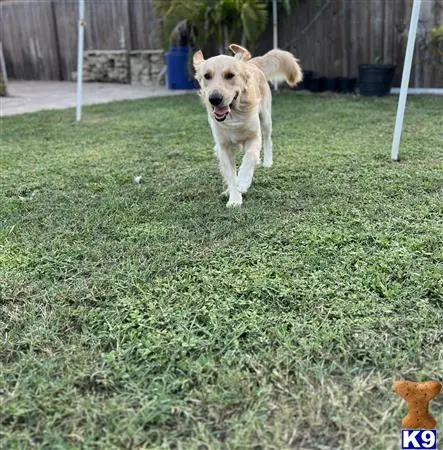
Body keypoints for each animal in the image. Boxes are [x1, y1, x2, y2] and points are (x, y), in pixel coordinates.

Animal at [193, 44, 302, 207]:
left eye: (230, 75)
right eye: (207, 76)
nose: (214, 99)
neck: (234, 116)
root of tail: (251, 63)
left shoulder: (253, 137)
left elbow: (249, 158)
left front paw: (243, 182)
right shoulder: (223, 146)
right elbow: (231, 175)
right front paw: (234, 198)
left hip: (265, 118)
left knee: (267, 140)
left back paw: (267, 162)